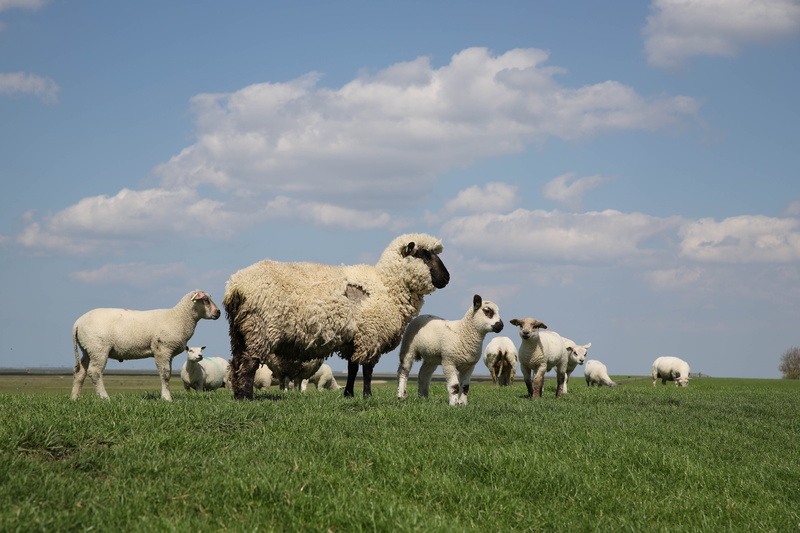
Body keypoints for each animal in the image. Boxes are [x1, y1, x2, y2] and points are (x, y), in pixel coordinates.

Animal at [71, 290, 221, 401]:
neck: (179, 317)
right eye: (206, 300)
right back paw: (104, 398)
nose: (218, 312)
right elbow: (165, 374)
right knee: (95, 371)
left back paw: (75, 398)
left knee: (80, 372)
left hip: (87, 349)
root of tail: (78, 322)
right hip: (98, 348)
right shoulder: (162, 349)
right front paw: (167, 398)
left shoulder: (169, 353)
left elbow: (168, 374)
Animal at [223, 233, 450, 400]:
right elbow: (367, 369)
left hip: (239, 329)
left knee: (236, 362)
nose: (447, 278)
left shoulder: (354, 338)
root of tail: (236, 285)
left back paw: (237, 394)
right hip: (260, 327)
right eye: (424, 255)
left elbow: (352, 368)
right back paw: (247, 396)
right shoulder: (371, 335)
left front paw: (349, 394)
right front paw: (367, 396)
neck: (387, 284)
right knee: (250, 362)